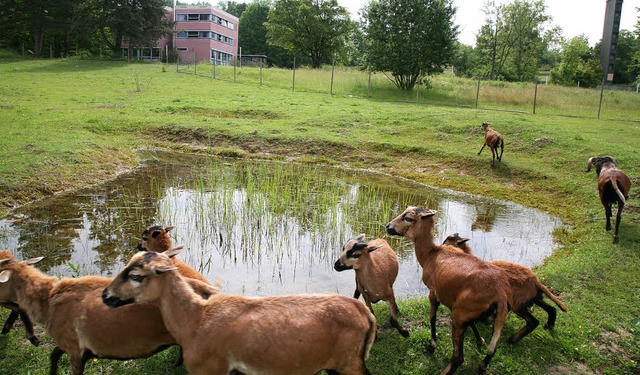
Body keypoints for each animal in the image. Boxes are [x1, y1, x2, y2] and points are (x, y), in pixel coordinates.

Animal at [102, 250, 378, 375]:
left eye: (136, 276)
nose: (105, 295)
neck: (194, 320)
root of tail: (365, 312)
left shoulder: (210, 370)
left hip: (349, 362)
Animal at [384, 207, 510, 374]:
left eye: (408, 218)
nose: (388, 227)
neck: (430, 254)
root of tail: (500, 294)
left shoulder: (434, 293)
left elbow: (432, 318)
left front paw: (432, 346)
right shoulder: (454, 302)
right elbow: (472, 324)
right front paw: (480, 340)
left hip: (459, 315)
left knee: (458, 358)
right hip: (467, 312)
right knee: (492, 350)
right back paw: (482, 366)